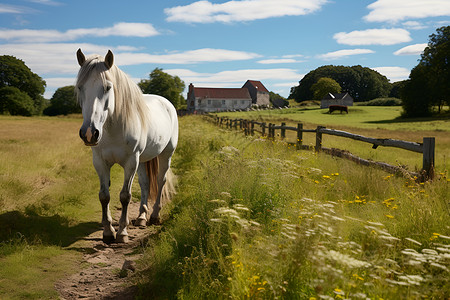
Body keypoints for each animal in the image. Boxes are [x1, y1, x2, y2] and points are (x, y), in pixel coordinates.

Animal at [75, 48, 178, 243]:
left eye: (107, 87)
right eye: (79, 87)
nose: (89, 133)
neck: (113, 128)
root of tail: (166, 102)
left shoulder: (131, 161)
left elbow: (125, 196)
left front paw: (122, 232)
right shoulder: (100, 161)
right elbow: (104, 195)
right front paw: (108, 232)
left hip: (165, 154)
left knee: (160, 181)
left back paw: (154, 216)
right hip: (143, 160)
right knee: (145, 183)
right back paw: (141, 217)